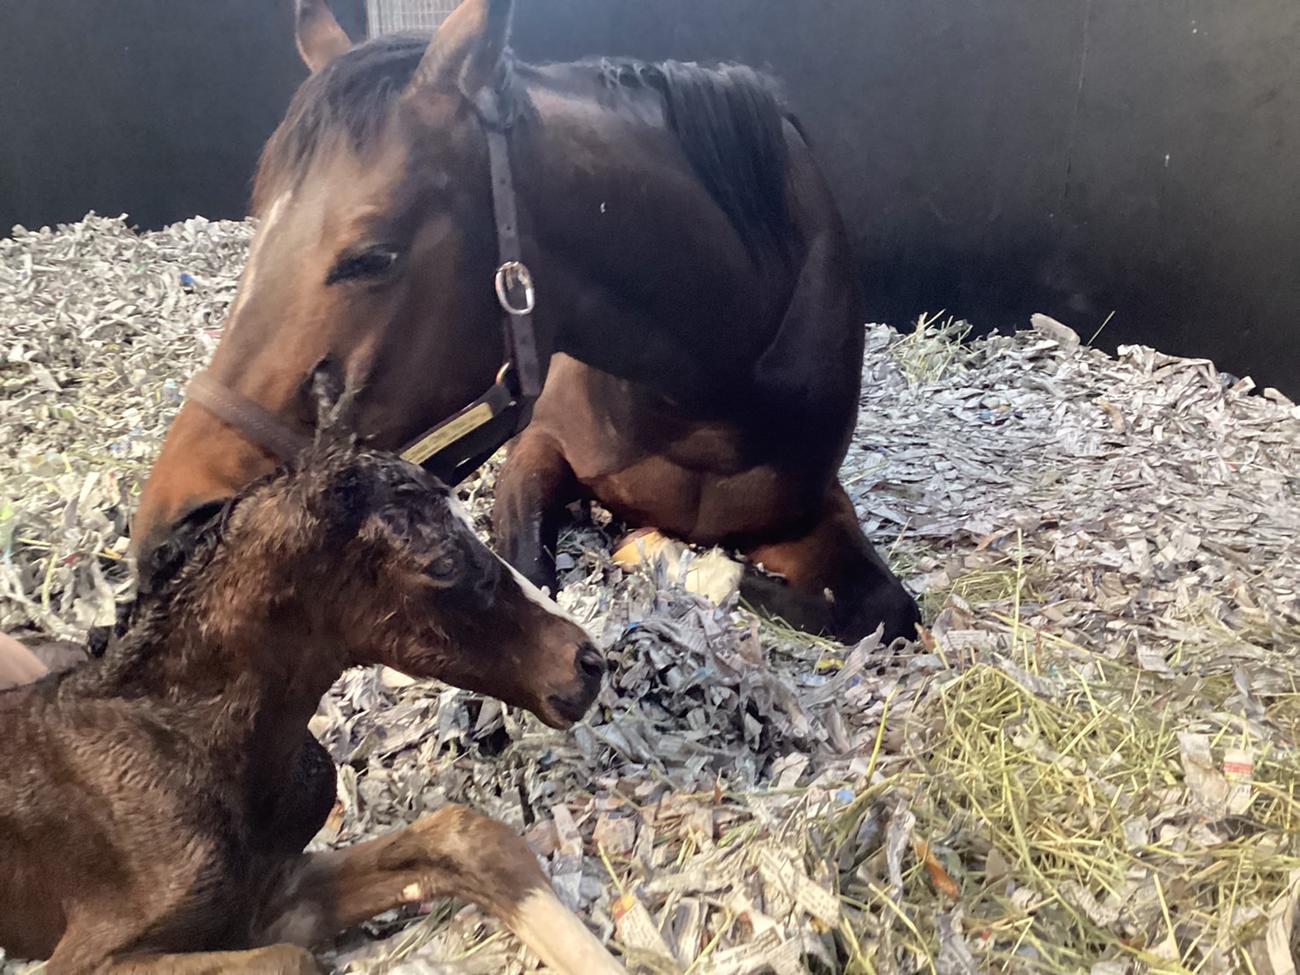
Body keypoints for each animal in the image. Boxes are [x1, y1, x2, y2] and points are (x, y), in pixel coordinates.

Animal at [133, 0, 921, 645]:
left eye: (372, 255)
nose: (170, 533)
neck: (709, 387)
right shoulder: (538, 444)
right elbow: (530, 571)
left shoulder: (808, 512)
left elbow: (885, 610)